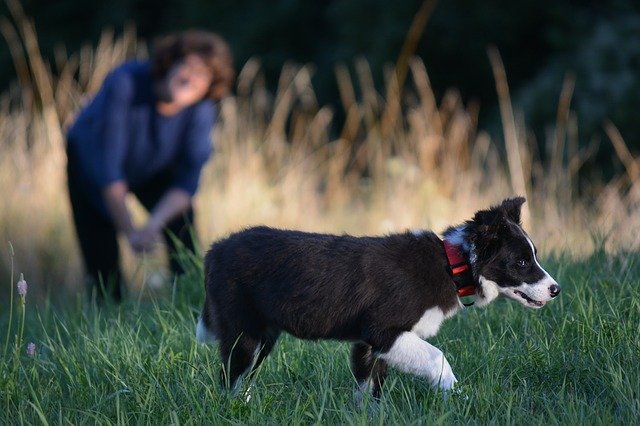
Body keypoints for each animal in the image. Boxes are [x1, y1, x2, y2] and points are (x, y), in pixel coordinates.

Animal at [196, 198, 560, 398]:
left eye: (533, 256)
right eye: (521, 262)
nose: (556, 289)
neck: (452, 262)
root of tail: (215, 249)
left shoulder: (367, 344)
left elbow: (369, 389)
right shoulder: (384, 332)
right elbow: (438, 359)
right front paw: (457, 399)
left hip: (264, 336)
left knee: (241, 380)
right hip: (244, 332)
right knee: (230, 380)